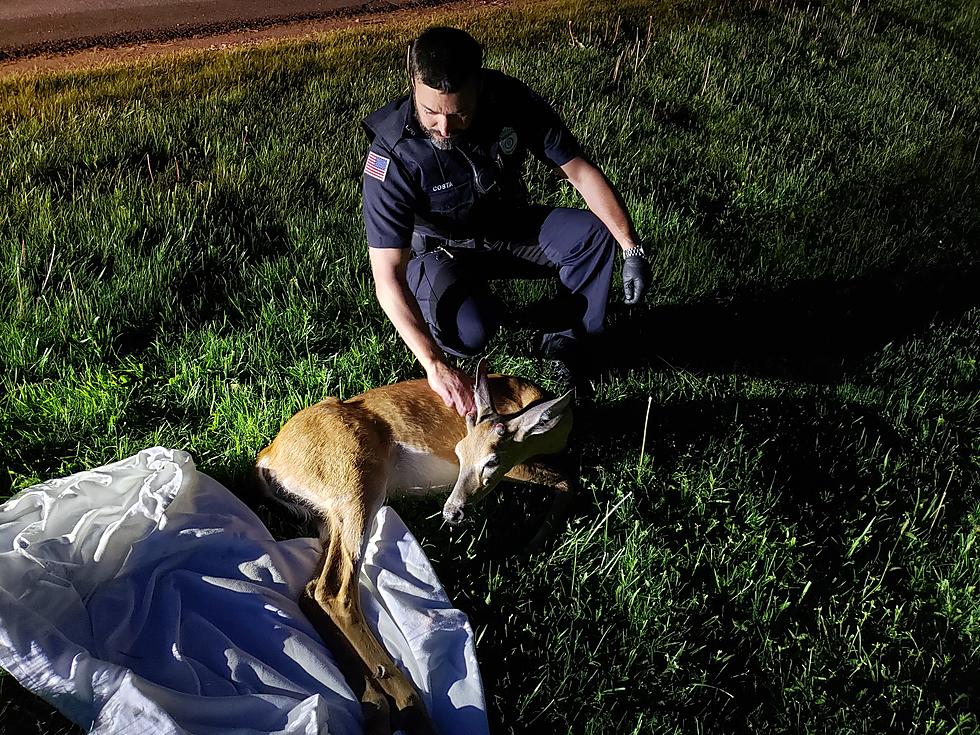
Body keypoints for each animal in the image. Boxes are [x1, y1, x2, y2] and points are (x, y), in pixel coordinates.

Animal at [253, 362, 576, 735]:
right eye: (459, 452)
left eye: (491, 461)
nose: (452, 512)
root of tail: (268, 458)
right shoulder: (519, 464)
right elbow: (568, 482)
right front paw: (534, 544)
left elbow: (565, 481)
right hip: (358, 481)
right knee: (335, 591)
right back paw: (411, 708)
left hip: (329, 514)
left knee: (311, 589)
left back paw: (376, 705)